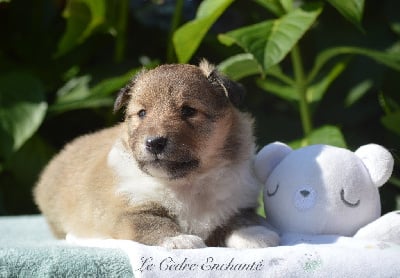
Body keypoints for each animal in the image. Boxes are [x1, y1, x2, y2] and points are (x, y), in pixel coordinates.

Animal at [33, 59, 278, 249]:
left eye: (188, 110)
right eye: (142, 113)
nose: (154, 143)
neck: (187, 184)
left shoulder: (236, 200)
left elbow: (239, 219)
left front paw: (258, 234)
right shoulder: (128, 211)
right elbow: (154, 223)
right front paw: (180, 240)